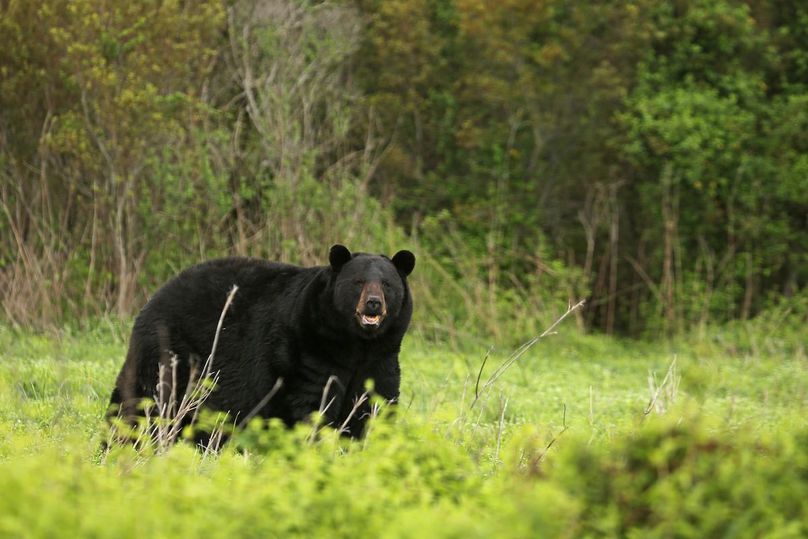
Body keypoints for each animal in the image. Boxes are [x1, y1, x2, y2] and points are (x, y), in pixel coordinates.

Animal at [107, 244, 415, 445]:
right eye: (358, 281)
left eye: (387, 284)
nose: (373, 303)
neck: (354, 344)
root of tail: (153, 298)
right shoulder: (306, 354)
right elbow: (312, 405)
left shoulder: (381, 359)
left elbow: (374, 405)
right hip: (169, 353)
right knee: (145, 401)